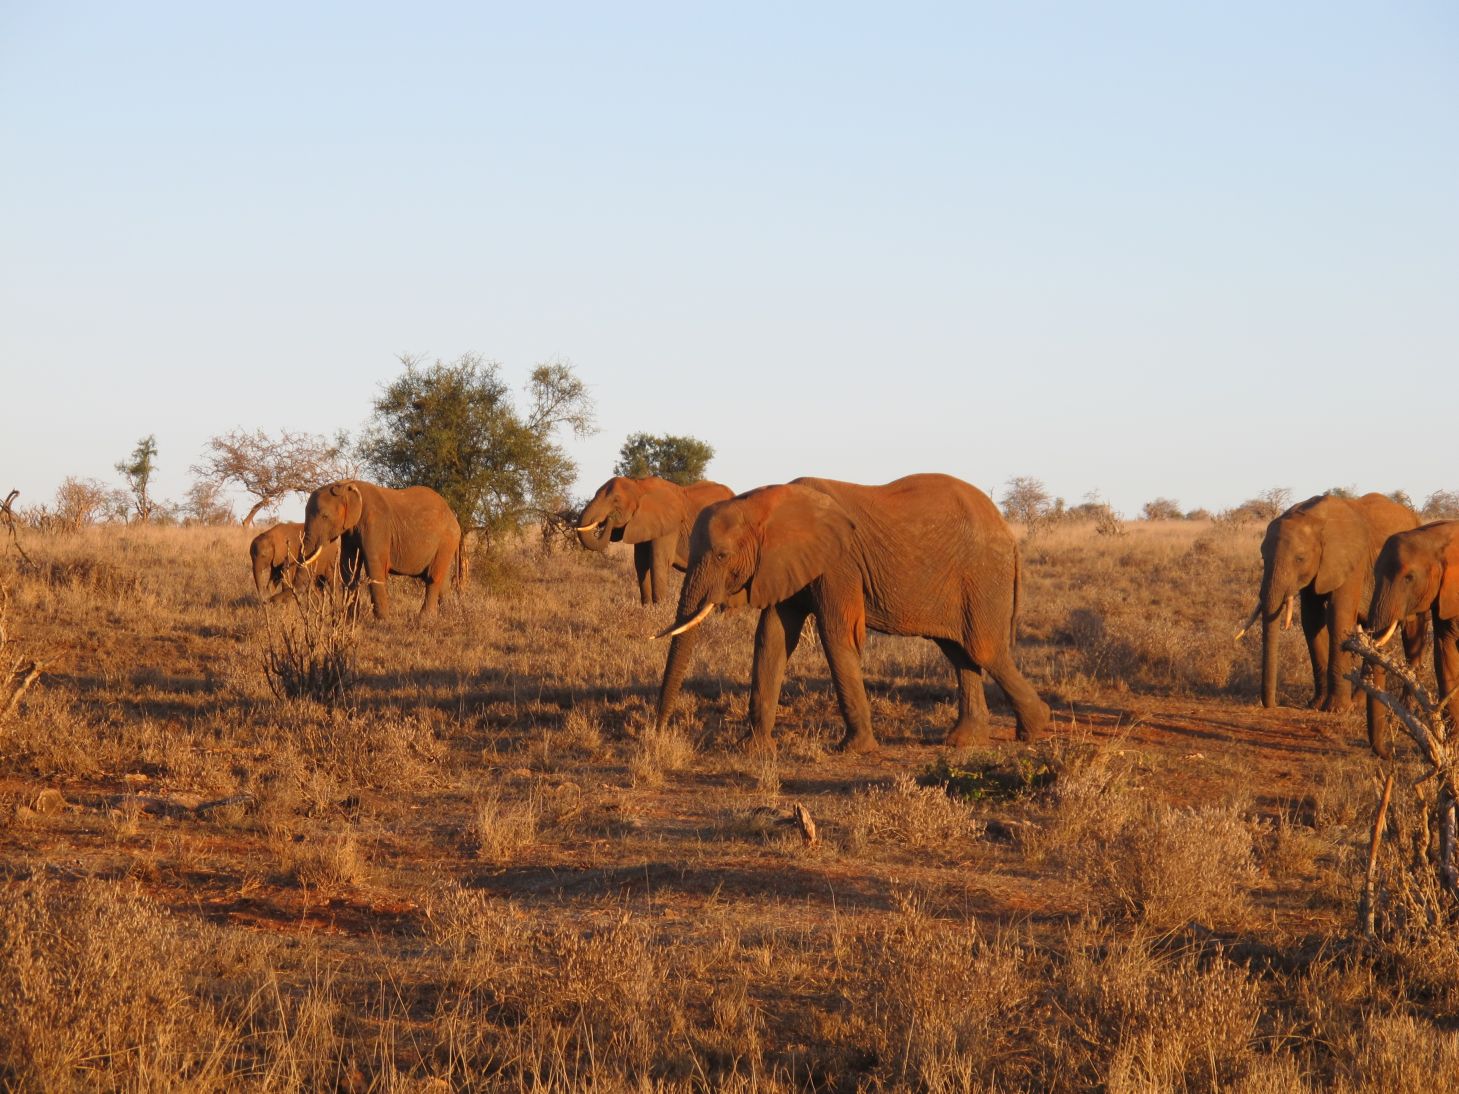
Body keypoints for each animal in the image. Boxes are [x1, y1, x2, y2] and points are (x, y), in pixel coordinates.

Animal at [304, 481, 463, 621]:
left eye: (325, 516)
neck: (345, 484)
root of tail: (453, 516)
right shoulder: (349, 532)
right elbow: (349, 568)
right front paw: (349, 620)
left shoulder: (375, 524)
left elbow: (375, 567)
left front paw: (383, 621)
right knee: (442, 579)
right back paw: (449, 615)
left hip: (447, 540)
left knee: (433, 578)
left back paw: (425, 619)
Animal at [574, 475, 735, 603]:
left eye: (616, 500)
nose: (609, 519)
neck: (638, 485)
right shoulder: (642, 523)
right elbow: (641, 563)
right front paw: (647, 608)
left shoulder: (669, 526)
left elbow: (658, 562)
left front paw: (659, 610)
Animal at [650, 475, 1050, 758]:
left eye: (721, 555)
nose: (657, 732)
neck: (765, 504)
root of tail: (1008, 532)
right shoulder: (786, 564)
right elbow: (772, 638)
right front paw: (755, 750)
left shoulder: (837, 564)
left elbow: (835, 633)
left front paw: (855, 749)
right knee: (958, 651)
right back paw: (964, 741)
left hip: (983, 576)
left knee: (984, 649)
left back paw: (1035, 729)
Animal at [1231, 495, 1423, 711]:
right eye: (1263, 557)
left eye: (1300, 559)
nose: (1272, 705)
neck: (1313, 517)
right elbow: (1311, 620)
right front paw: (1316, 705)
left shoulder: (1352, 562)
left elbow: (1338, 617)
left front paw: (1336, 709)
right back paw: (1360, 702)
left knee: (1412, 632)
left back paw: (1406, 706)